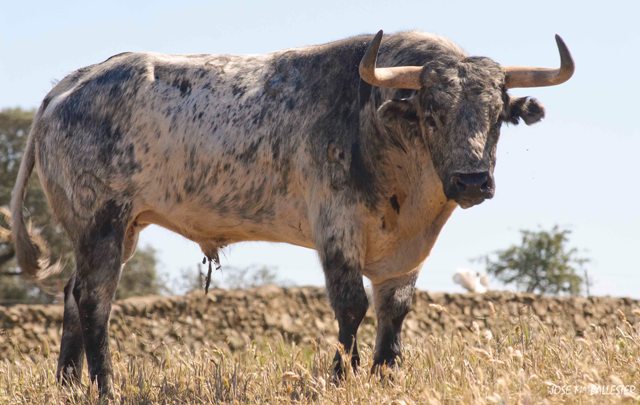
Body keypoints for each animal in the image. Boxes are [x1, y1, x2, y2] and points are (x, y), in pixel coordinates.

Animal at [10, 29, 572, 394]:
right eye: (431, 113)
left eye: (498, 116)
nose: (473, 180)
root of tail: (71, 83)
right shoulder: (337, 229)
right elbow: (352, 307)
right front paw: (340, 378)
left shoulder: (406, 253)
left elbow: (394, 313)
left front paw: (385, 378)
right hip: (101, 222)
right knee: (95, 301)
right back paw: (106, 387)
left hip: (114, 230)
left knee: (73, 294)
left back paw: (67, 385)